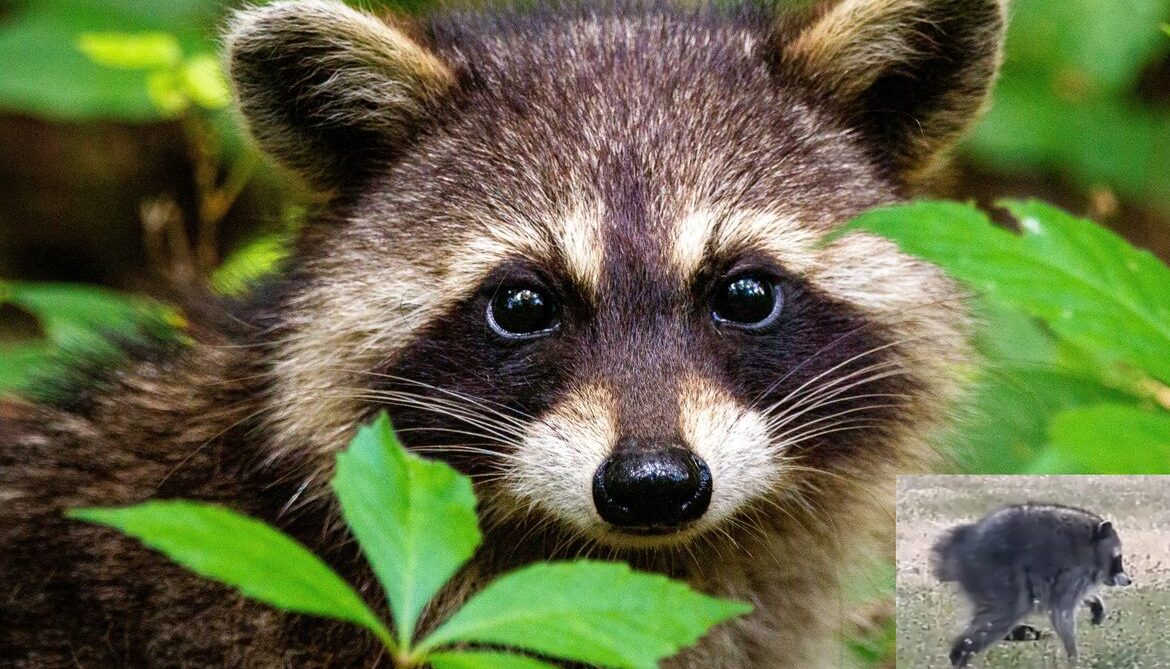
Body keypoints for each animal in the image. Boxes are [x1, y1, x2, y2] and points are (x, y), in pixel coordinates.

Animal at [932, 503, 1133, 667]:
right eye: (1118, 559)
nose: (1129, 580)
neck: (1092, 543)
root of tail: (958, 544)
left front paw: (1093, 600)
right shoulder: (1073, 572)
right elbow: (1062, 612)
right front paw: (1073, 655)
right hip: (993, 572)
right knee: (1004, 613)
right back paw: (960, 654)